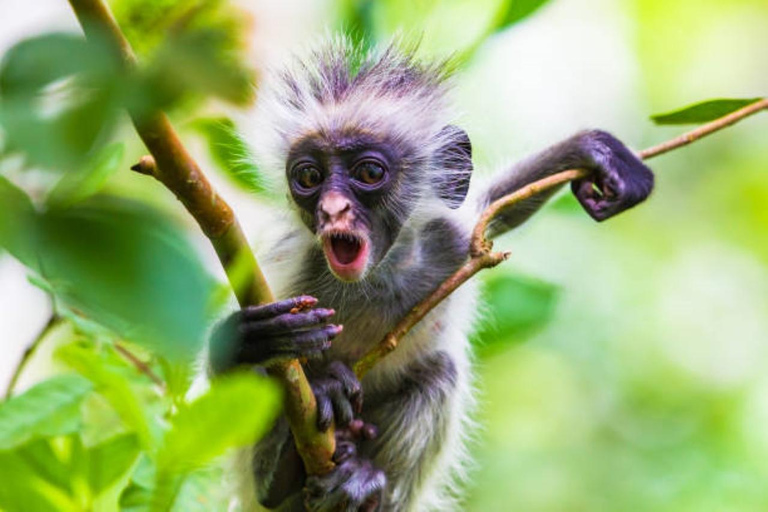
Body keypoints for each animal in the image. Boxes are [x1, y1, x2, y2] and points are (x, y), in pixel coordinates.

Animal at [210, 37, 656, 512]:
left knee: (440, 372)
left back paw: (360, 483)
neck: (381, 274)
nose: (332, 209)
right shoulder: (293, 264)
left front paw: (591, 151)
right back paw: (279, 471)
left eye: (368, 172)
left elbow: (498, 204)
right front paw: (254, 339)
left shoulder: (453, 240)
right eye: (310, 176)